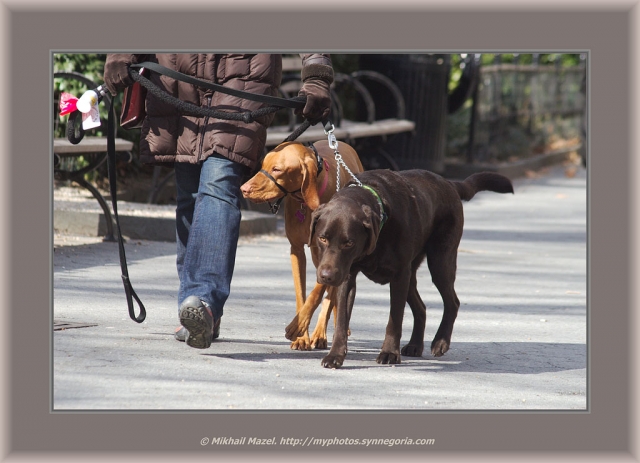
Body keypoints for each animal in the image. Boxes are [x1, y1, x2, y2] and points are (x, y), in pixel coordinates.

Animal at [239, 141, 362, 352]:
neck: (305, 201)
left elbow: (317, 293)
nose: (243, 189)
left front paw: (298, 326)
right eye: (263, 164)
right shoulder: (296, 251)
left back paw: (323, 333)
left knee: (332, 294)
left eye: (277, 169)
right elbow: (301, 294)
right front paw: (302, 336)